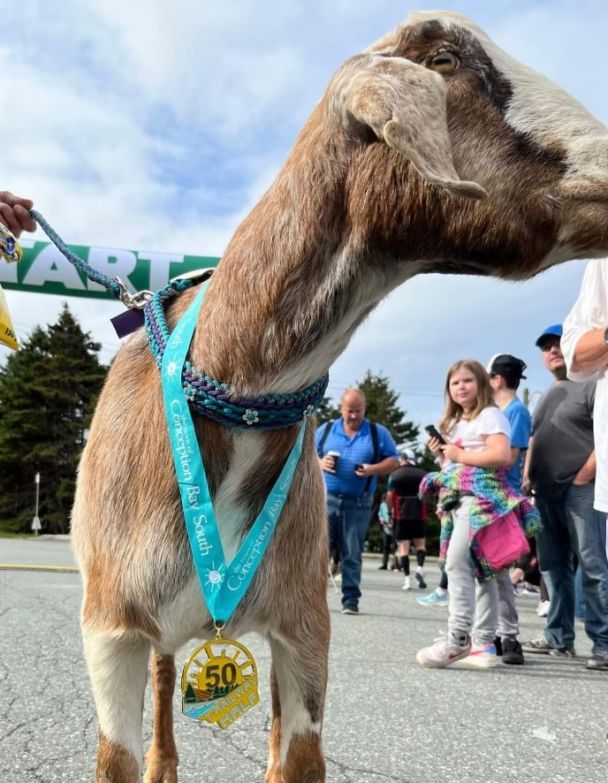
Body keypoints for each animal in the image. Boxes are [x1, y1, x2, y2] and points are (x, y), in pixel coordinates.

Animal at [72, 12, 608, 783]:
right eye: (445, 61)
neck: (233, 394)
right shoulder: (108, 628)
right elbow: (114, 752)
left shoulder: (304, 626)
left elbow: (295, 754)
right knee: (165, 675)